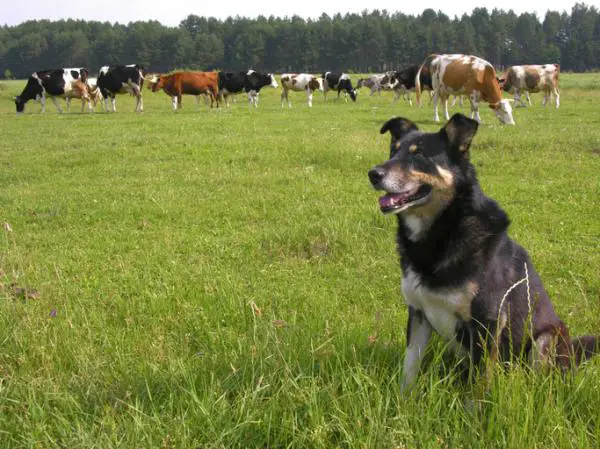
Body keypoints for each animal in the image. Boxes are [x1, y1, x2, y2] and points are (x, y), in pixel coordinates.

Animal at [368, 113, 596, 388]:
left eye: (419, 155)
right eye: (393, 151)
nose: (373, 174)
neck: (444, 230)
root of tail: (573, 353)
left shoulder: (487, 322)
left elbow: (479, 384)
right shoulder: (418, 312)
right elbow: (409, 367)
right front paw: (405, 398)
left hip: (547, 338)